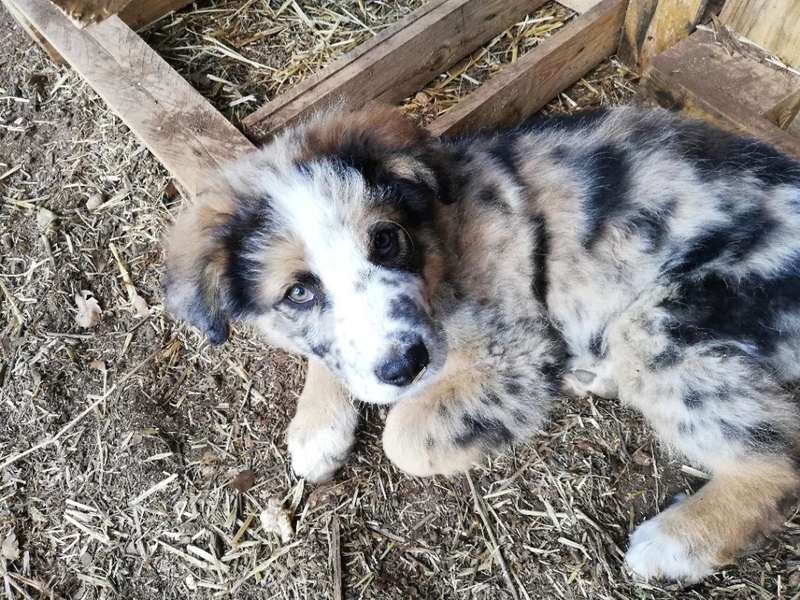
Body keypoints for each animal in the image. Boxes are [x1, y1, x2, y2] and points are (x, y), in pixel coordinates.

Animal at [166, 106, 800, 580]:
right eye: (298, 292)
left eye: (385, 239)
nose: (407, 365)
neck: (439, 247)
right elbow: (330, 359)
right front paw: (316, 427)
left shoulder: (515, 351)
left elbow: (404, 436)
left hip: (659, 324)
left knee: (780, 457)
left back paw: (674, 543)